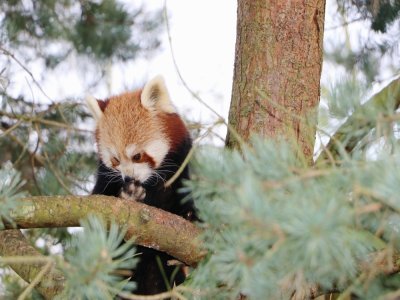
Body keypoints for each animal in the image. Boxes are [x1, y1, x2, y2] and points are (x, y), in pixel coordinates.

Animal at [86, 75, 196, 296]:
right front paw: (129, 195)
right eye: (115, 160)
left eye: (137, 156)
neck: (150, 186)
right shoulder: (103, 182)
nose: (129, 178)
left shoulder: (178, 174)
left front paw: (190, 215)